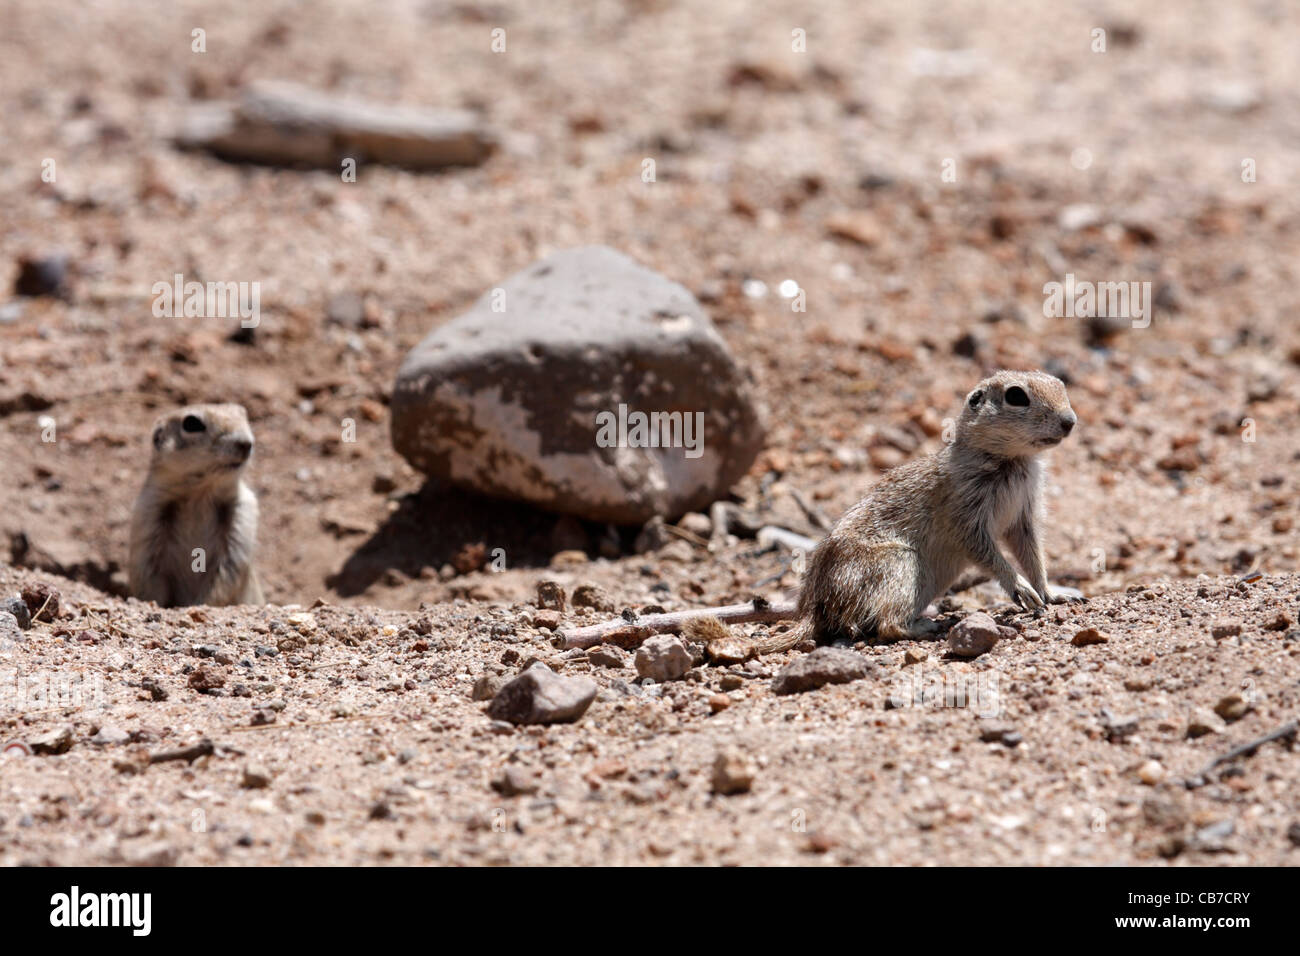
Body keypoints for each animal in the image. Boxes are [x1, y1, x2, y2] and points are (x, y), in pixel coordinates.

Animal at [129, 403, 266, 606]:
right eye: (192, 423)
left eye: (243, 413)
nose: (246, 443)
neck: (200, 494)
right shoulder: (148, 514)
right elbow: (150, 578)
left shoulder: (242, 514)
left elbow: (227, 573)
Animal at [686, 369, 1081, 655]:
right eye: (1016, 395)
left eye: (1061, 384)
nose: (1070, 421)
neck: (1012, 461)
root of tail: (813, 607)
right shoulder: (966, 513)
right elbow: (986, 551)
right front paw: (1021, 589)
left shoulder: (1023, 515)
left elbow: (1032, 553)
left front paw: (1051, 594)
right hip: (898, 565)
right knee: (887, 626)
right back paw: (929, 626)